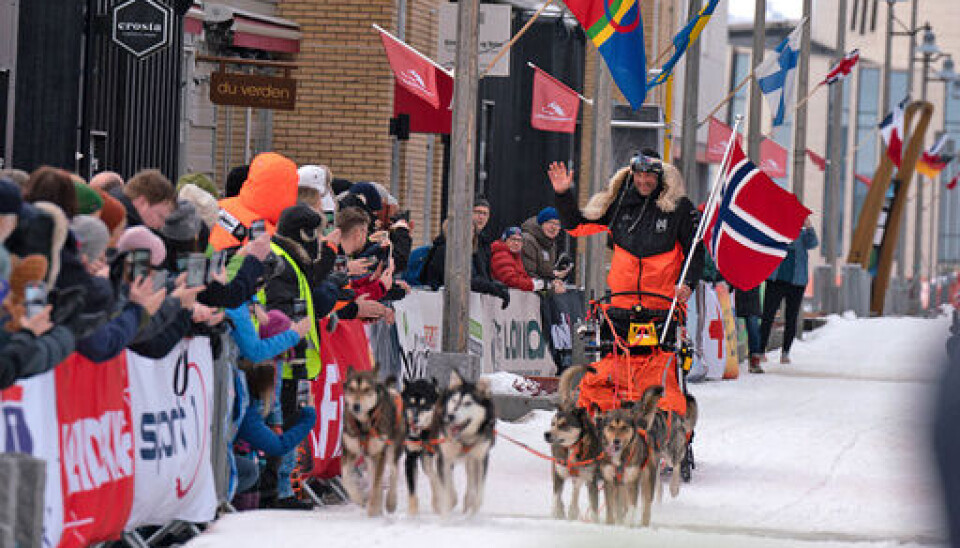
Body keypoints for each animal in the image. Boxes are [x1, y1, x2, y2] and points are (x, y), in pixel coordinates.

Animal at [342, 368, 404, 520]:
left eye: (366, 389)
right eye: (351, 389)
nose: (356, 406)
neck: (364, 425)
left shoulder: (380, 453)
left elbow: (377, 484)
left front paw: (373, 509)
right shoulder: (349, 450)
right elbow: (345, 477)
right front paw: (359, 499)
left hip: (392, 450)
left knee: (393, 472)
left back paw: (390, 502)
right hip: (369, 457)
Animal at [400, 378, 444, 516]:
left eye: (425, 405)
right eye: (411, 402)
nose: (414, 420)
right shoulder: (410, 458)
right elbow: (412, 489)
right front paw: (412, 514)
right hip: (425, 460)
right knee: (432, 475)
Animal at [436, 370, 496, 516]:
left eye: (468, 403)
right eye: (454, 400)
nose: (450, 416)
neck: (464, 439)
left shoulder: (481, 458)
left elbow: (479, 493)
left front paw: (472, 513)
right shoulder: (444, 457)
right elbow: (446, 491)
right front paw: (445, 514)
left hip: (471, 460)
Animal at [548, 366, 600, 520]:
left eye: (563, 425)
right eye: (552, 424)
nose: (546, 434)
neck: (573, 448)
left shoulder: (591, 479)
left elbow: (593, 505)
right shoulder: (559, 474)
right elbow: (556, 497)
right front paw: (556, 512)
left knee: (576, 490)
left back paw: (573, 510)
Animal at [596, 386, 664, 528]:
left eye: (624, 427)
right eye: (611, 427)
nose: (616, 441)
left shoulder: (632, 481)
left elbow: (632, 507)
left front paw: (628, 525)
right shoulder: (609, 481)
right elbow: (611, 508)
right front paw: (611, 524)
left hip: (647, 480)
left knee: (646, 507)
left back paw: (644, 525)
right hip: (621, 486)